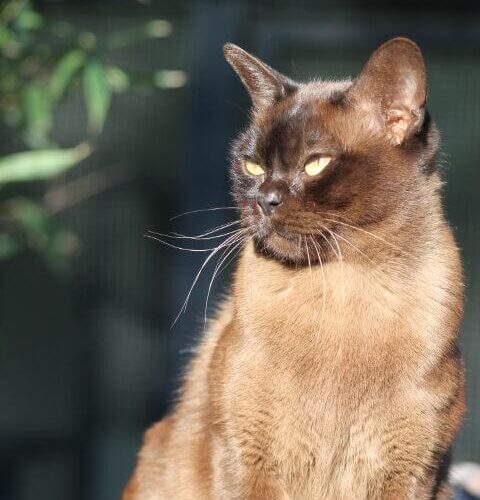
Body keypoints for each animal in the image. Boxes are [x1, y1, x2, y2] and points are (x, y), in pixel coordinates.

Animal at [123, 37, 464, 498]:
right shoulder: (249, 461)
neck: (342, 287)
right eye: (252, 165)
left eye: (315, 163)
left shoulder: (411, 473)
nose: (264, 199)